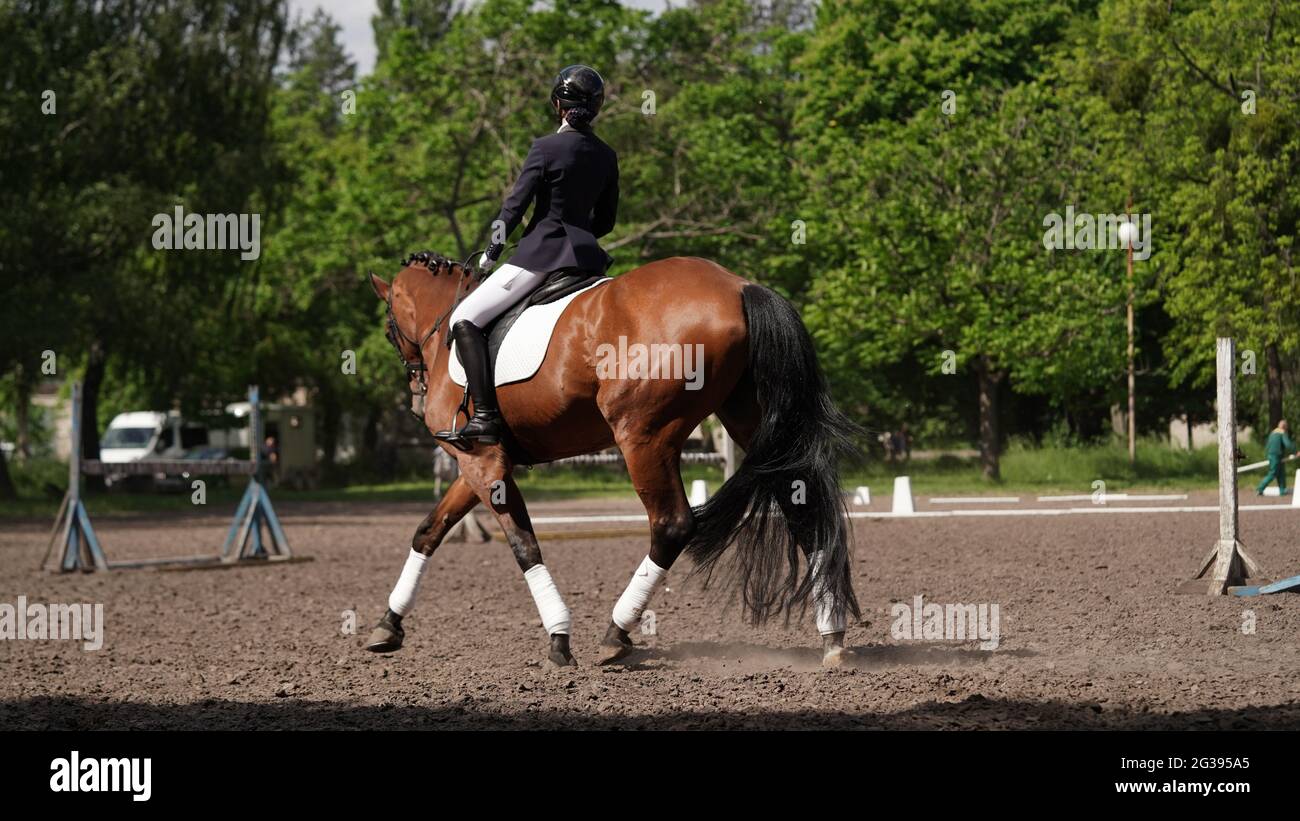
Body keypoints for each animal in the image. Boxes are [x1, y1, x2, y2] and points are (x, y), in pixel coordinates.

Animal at [365, 251, 861, 668]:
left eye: (389, 331)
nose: (416, 402)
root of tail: (739, 286)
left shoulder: (485, 461)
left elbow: (523, 544)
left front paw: (559, 637)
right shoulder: (478, 464)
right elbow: (429, 530)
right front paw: (388, 624)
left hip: (642, 437)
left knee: (672, 525)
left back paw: (616, 633)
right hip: (751, 423)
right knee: (802, 513)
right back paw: (832, 637)